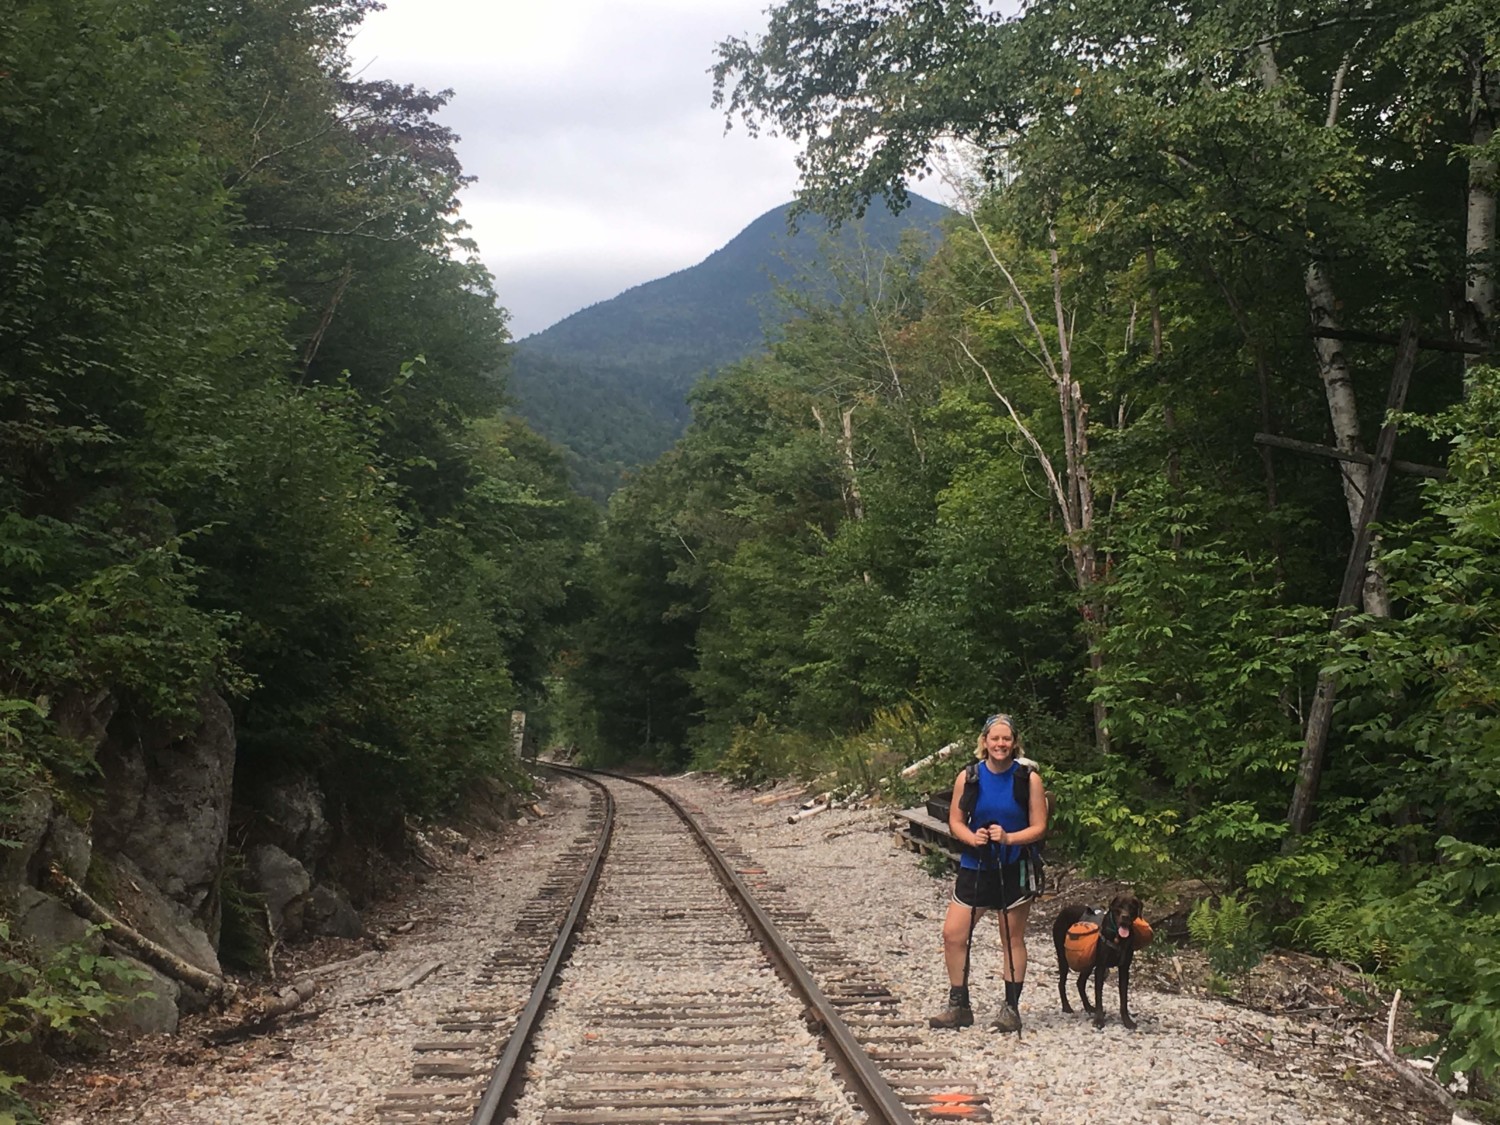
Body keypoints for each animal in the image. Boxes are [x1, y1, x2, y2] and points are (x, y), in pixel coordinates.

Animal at [1056, 900, 1146, 1032]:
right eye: (1119, 906)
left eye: (1132, 907)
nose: (1125, 917)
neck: (1117, 937)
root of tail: (1063, 910)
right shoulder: (1101, 967)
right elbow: (1098, 996)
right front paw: (1099, 1021)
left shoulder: (1124, 970)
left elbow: (1123, 999)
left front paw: (1127, 1022)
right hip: (1063, 958)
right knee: (1061, 983)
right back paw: (1066, 1007)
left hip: (1088, 963)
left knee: (1080, 983)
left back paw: (1088, 1007)